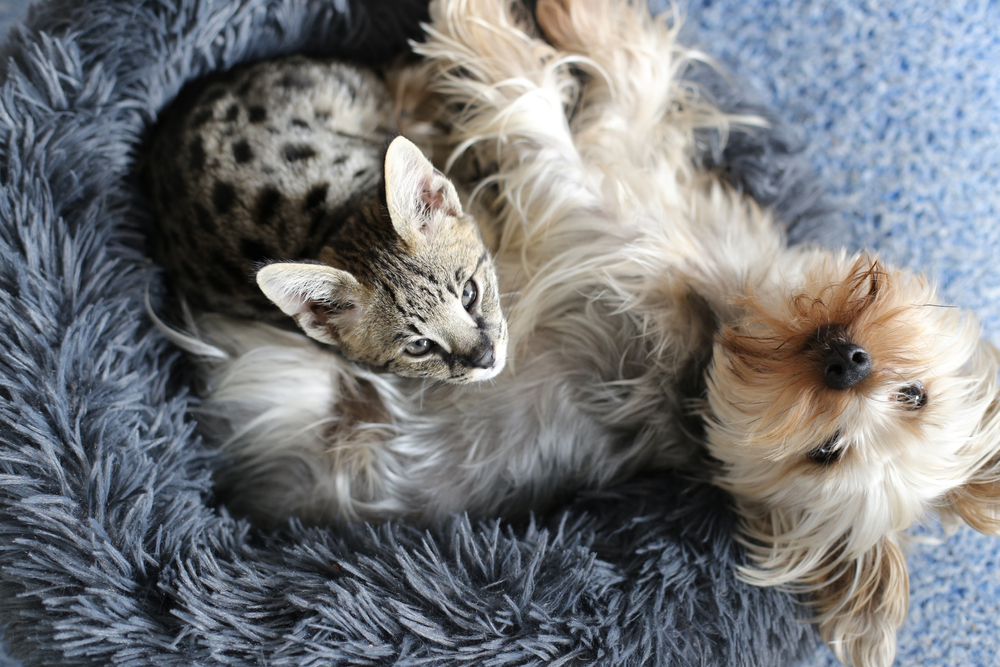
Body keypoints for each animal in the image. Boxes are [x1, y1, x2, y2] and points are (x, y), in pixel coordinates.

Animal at [186, 0, 1000, 664]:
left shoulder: (582, 214)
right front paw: (579, 18)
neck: (727, 314)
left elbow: (530, 104)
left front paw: (475, 22)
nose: (849, 362)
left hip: (282, 380)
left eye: (825, 454)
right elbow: (631, 77)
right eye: (917, 394)